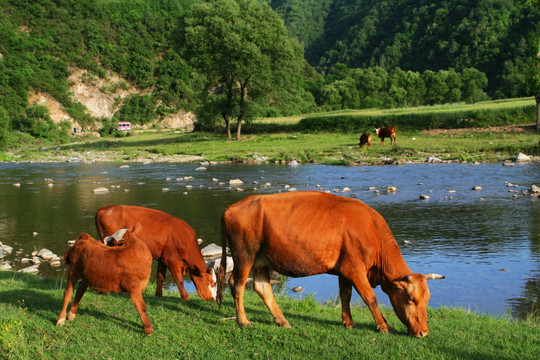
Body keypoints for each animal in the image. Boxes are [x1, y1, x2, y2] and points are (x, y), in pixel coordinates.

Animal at [217, 193, 446, 336]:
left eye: (427, 299)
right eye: (411, 299)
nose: (424, 332)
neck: (371, 229)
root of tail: (233, 206)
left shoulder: (345, 269)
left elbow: (345, 295)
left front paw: (348, 322)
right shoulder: (355, 268)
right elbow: (369, 297)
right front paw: (383, 326)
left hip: (261, 259)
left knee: (262, 288)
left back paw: (282, 321)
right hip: (244, 254)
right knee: (237, 285)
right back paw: (243, 321)